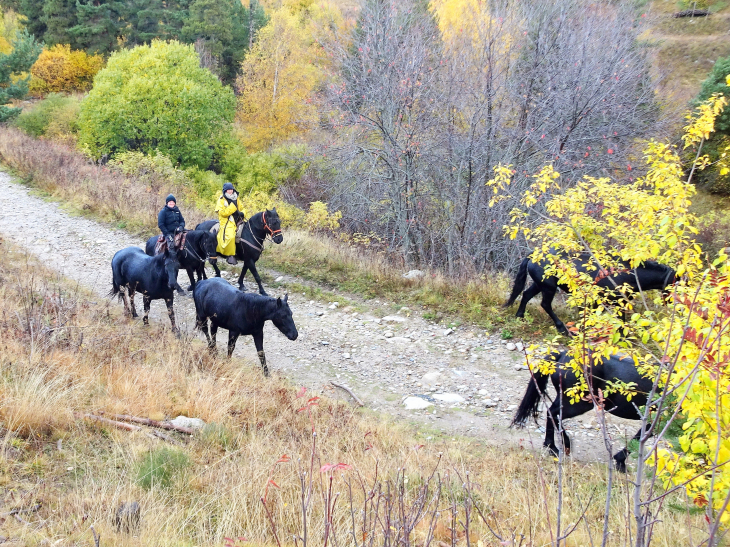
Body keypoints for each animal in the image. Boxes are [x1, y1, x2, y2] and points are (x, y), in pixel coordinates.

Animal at [504, 255, 672, 336]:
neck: (629, 274)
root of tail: (532, 257)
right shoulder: (615, 302)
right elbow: (619, 320)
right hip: (548, 287)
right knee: (545, 305)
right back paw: (562, 328)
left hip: (540, 284)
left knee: (526, 294)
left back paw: (520, 316)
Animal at [510, 354, 652, 474]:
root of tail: (562, 354)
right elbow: (642, 435)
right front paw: (621, 463)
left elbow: (642, 435)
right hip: (578, 403)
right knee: (553, 413)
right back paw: (554, 447)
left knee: (553, 412)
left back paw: (562, 445)